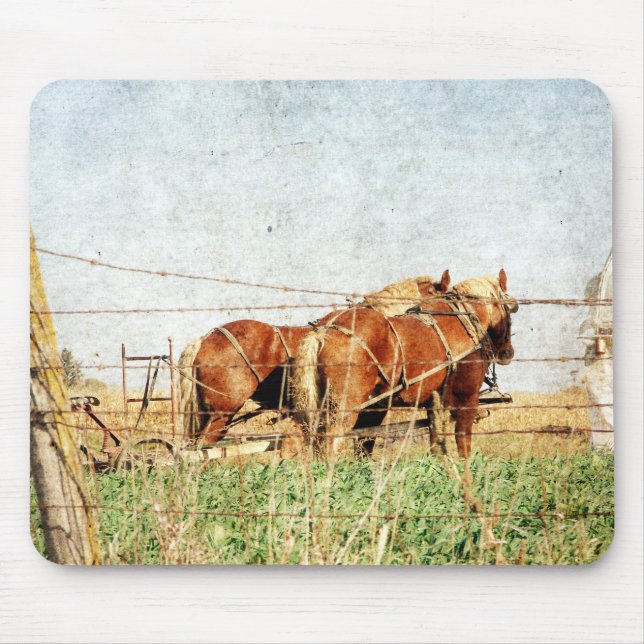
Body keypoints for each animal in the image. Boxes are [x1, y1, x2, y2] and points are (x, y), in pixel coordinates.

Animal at [291, 269, 518, 459]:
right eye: (508, 308)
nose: (507, 352)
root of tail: (322, 332)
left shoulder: (431, 404)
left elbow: (435, 443)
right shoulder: (466, 399)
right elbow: (463, 445)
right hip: (344, 408)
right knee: (330, 445)